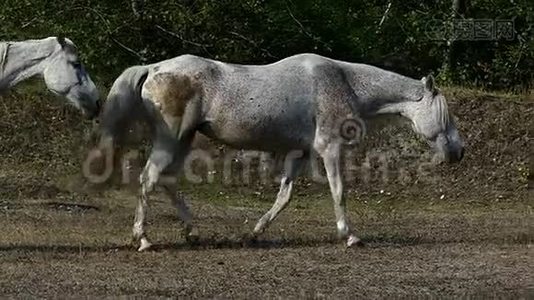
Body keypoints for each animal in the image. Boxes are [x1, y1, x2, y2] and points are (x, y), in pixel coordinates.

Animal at [92, 53, 464, 251]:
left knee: (165, 180)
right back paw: (144, 240)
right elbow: (339, 191)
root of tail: (154, 68)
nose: (458, 151)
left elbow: (284, 197)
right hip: (172, 140)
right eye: (446, 114)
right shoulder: (329, 148)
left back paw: (192, 231)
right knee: (149, 179)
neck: (343, 82)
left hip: (183, 140)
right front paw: (350, 236)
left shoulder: (299, 153)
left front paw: (255, 233)